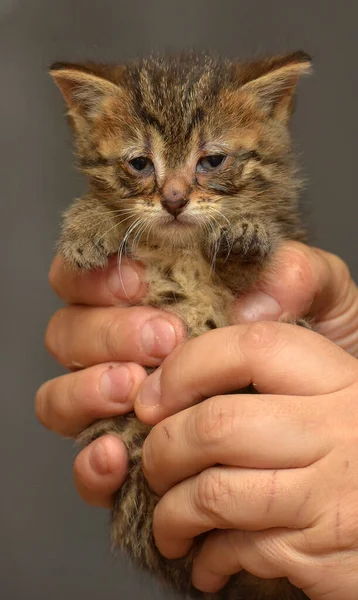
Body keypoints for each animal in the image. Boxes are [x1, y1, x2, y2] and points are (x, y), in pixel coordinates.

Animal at [51, 52, 312, 600]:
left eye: (211, 161)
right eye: (139, 163)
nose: (173, 200)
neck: (179, 246)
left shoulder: (284, 233)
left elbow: (252, 256)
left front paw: (245, 232)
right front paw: (88, 222)